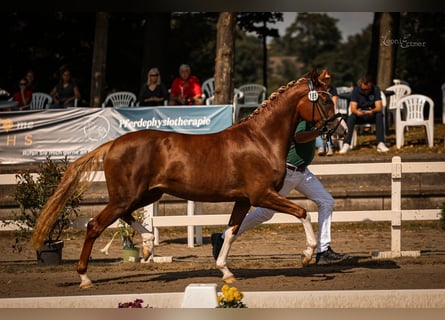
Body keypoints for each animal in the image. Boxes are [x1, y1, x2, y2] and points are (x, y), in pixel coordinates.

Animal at [32, 68, 340, 288]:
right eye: (324, 99)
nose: (338, 129)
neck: (260, 140)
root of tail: (113, 143)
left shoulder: (243, 200)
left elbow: (231, 231)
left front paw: (226, 271)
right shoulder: (261, 195)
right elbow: (302, 212)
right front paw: (307, 255)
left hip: (145, 194)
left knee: (126, 218)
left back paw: (148, 246)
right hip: (126, 196)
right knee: (95, 225)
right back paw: (85, 277)